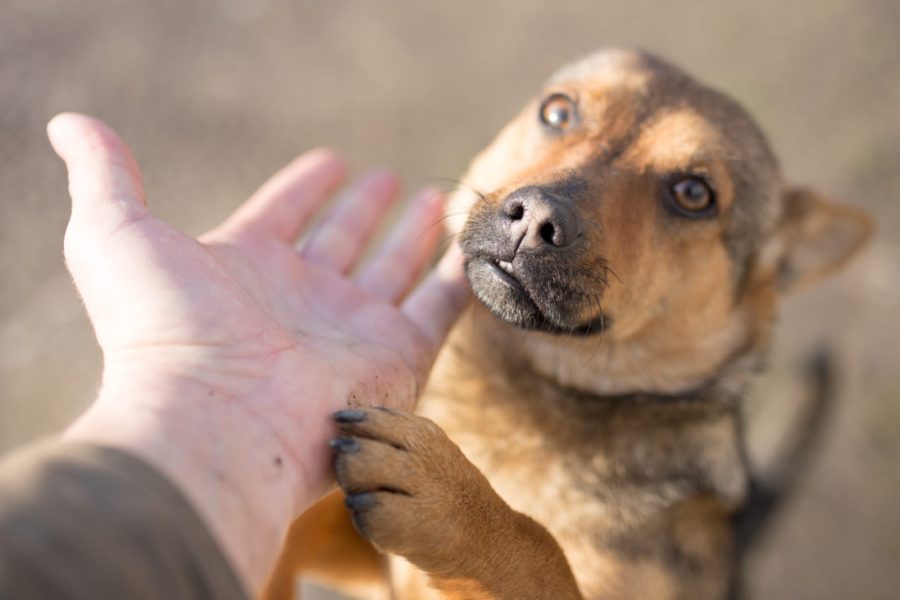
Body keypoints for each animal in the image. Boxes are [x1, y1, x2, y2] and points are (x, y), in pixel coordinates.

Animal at [260, 49, 872, 600]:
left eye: (694, 193)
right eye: (557, 112)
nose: (536, 218)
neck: (517, 396)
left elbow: (539, 552)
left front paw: (453, 502)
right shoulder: (359, 564)